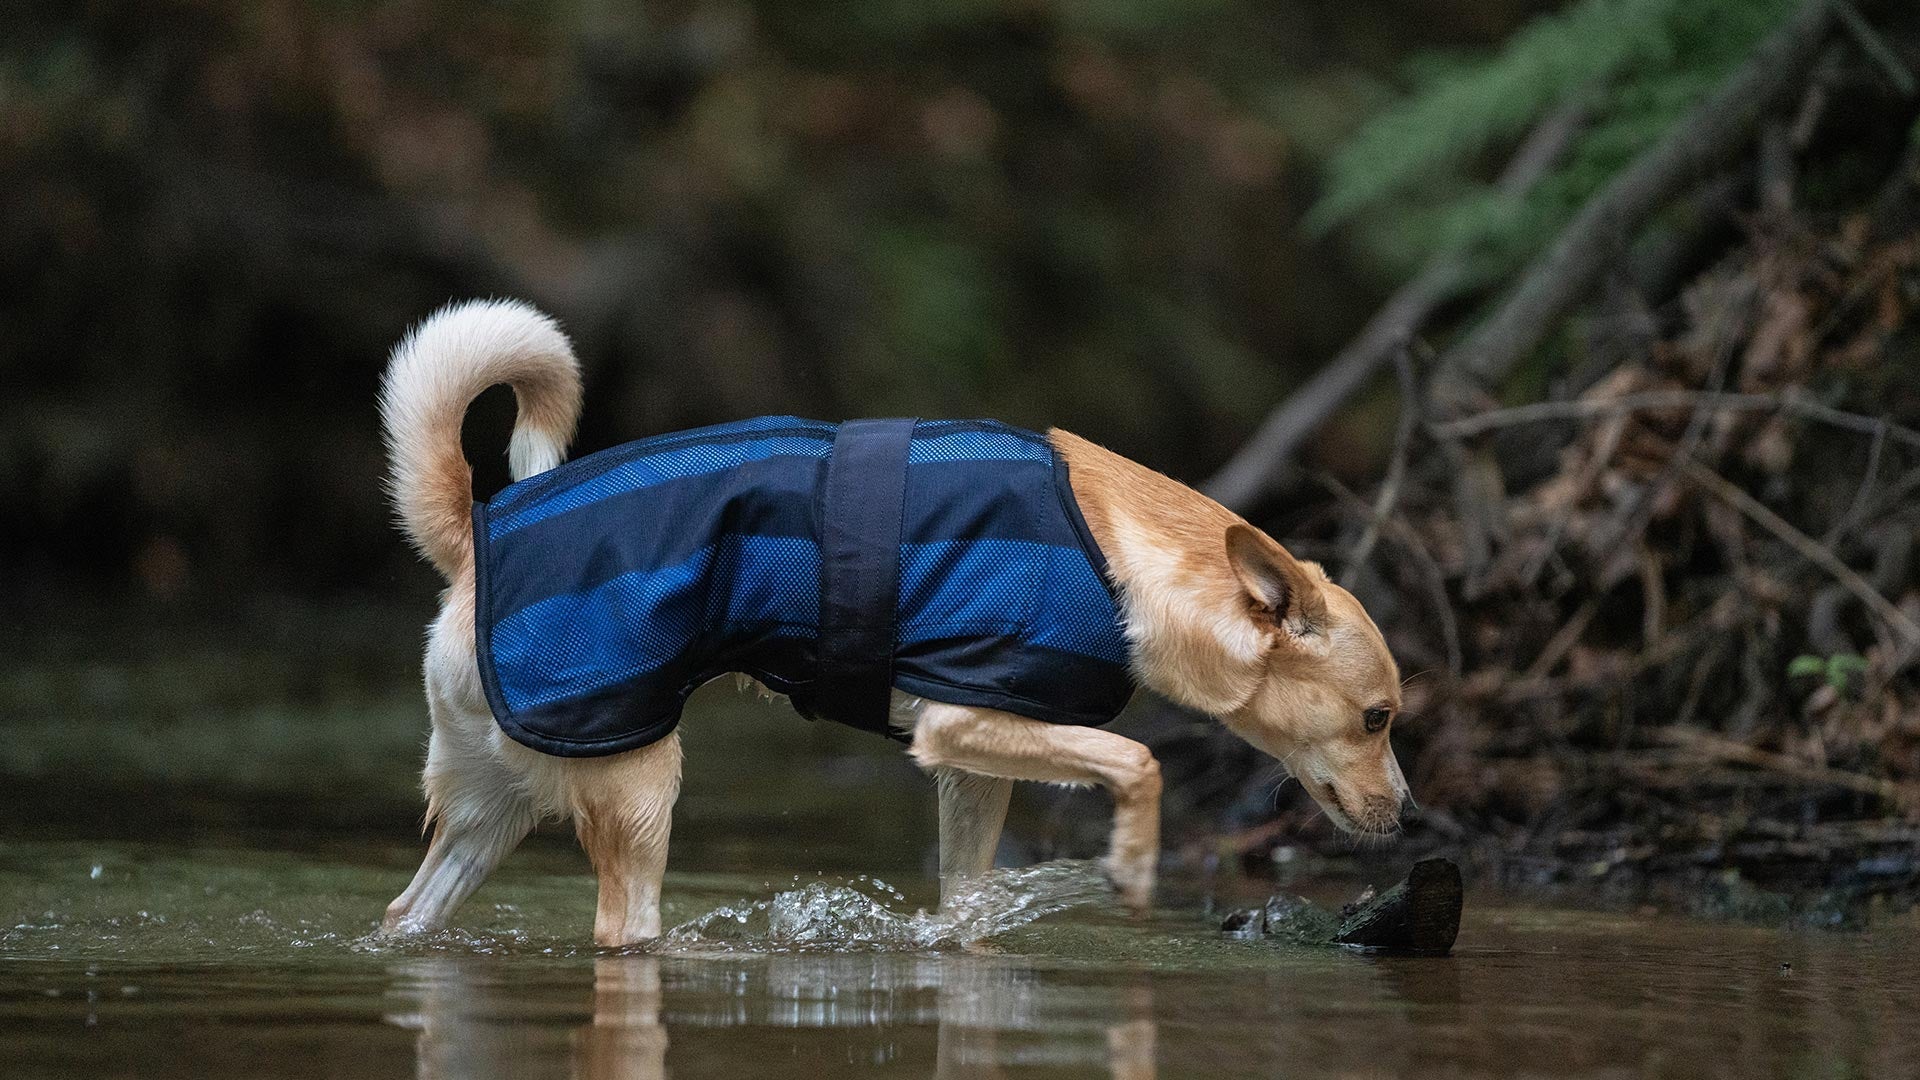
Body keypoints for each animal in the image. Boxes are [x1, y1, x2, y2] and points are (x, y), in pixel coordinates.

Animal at [378, 297, 1413, 937]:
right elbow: (1141, 761)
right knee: (622, 932)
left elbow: (965, 904)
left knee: (409, 913)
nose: (1407, 816)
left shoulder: (973, 771)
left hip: (495, 804)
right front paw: (1130, 863)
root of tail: (475, 531)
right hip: (636, 789)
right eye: (1377, 719)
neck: (1125, 555)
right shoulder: (964, 720)